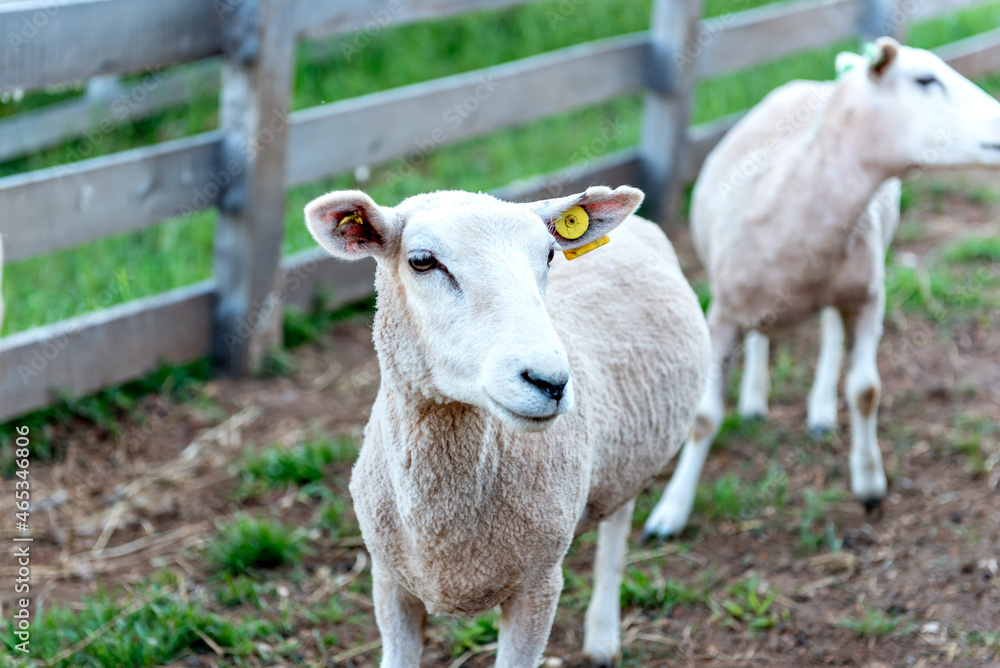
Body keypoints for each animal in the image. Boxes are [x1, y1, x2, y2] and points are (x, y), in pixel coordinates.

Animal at [304, 185, 710, 667]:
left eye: (550, 255)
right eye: (421, 261)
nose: (551, 382)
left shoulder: (539, 586)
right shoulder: (390, 583)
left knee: (618, 522)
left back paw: (603, 636)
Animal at [643, 37, 1000, 539]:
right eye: (925, 80)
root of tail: (815, 81)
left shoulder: (869, 298)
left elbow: (866, 390)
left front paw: (869, 483)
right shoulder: (724, 314)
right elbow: (704, 418)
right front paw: (670, 512)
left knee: (829, 330)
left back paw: (819, 411)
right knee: (764, 335)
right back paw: (754, 398)